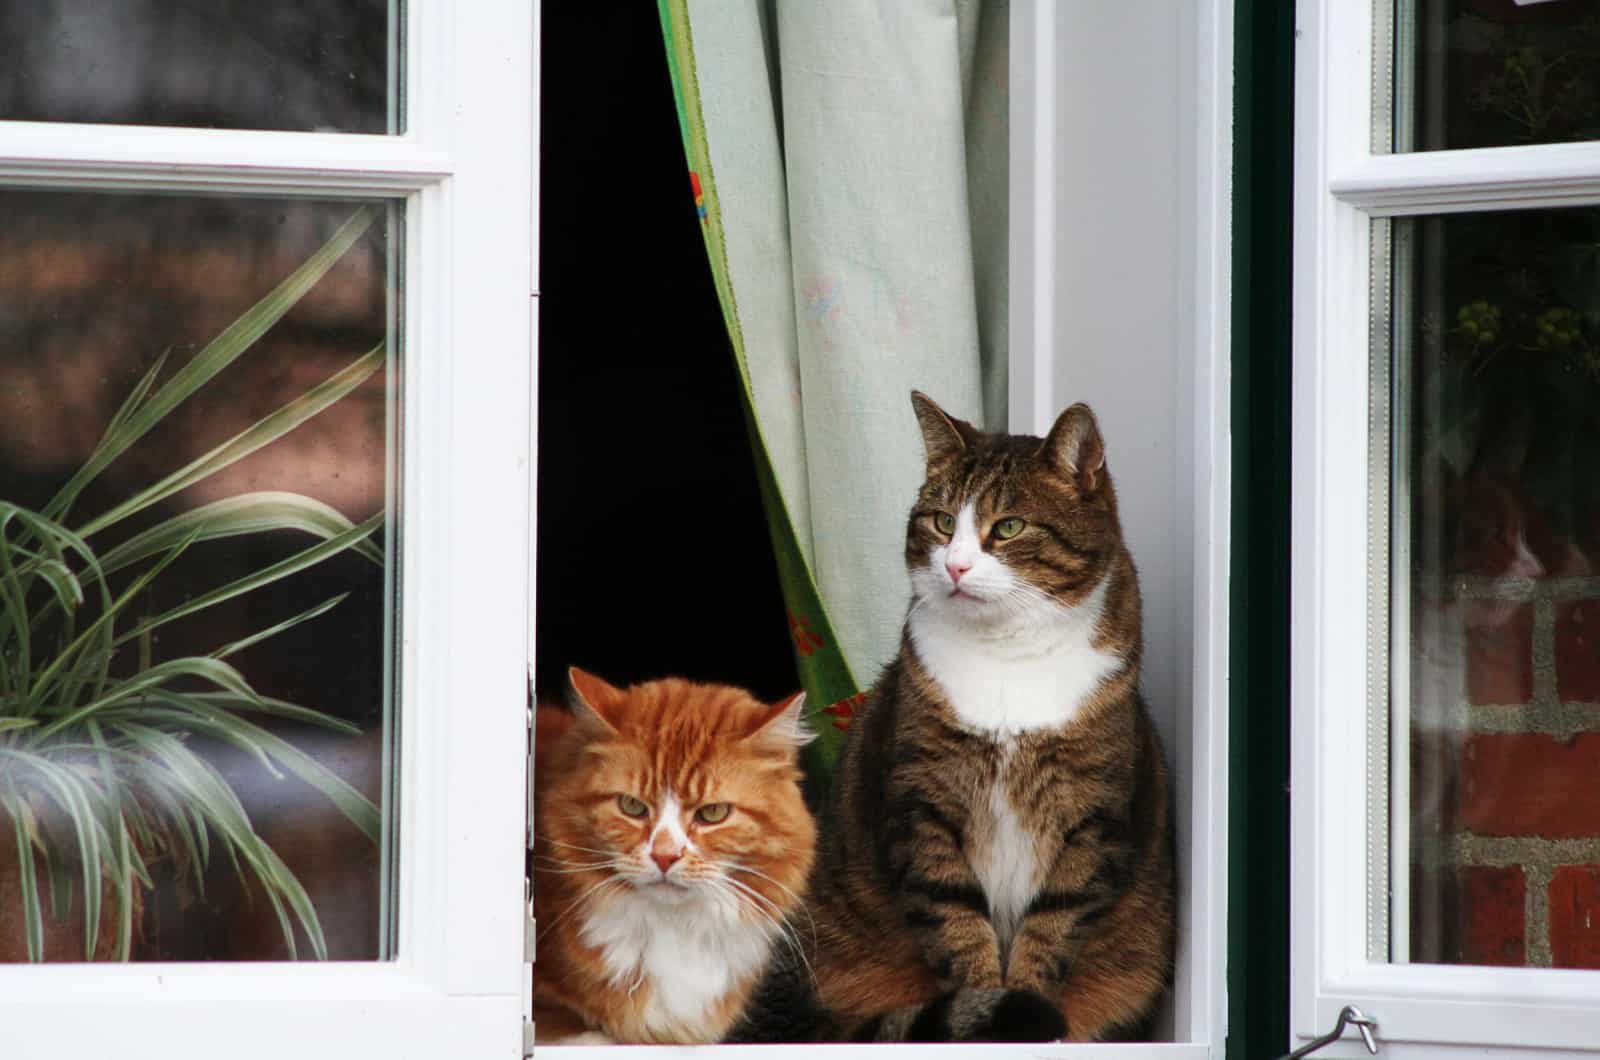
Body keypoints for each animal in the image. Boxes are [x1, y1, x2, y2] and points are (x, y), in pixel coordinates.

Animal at [736, 392, 1177, 1043]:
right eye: (943, 523)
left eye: (1009, 527)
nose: (956, 567)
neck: (1007, 656)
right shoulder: (924, 804)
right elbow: (956, 924)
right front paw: (993, 1013)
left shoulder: (1091, 817)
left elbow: (1052, 926)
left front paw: (1028, 1009)